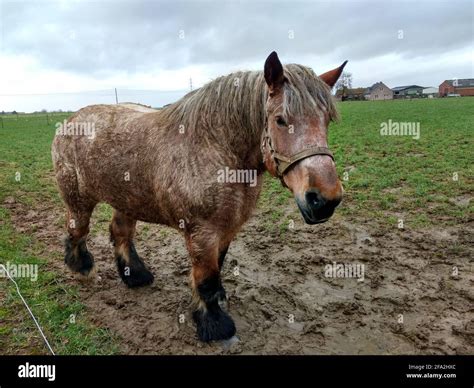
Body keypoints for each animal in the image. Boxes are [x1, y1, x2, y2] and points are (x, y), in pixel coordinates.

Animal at [51, 52, 346, 342]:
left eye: (327, 120)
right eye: (280, 120)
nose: (324, 200)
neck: (217, 148)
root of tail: (70, 122)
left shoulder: (228, 227)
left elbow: (217, 266)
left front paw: (216, 302)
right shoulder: (202, 232)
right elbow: (206, 277)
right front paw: (214, 326)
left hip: (127, 200)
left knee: (120, 234)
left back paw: (135, 276)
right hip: (78, 200)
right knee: (78, 231)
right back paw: (81, 268)